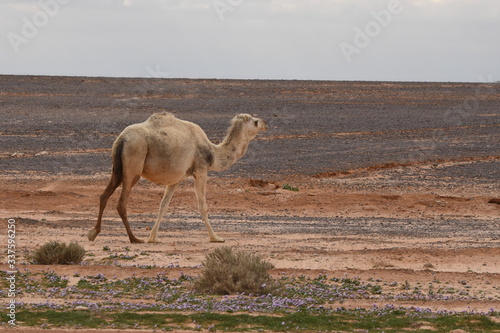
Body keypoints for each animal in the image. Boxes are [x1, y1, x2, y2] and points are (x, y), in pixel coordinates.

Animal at [88, 111, 268, 241]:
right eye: (255, 122)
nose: (266, 123)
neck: (213, 152)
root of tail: (122, 139)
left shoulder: (175, 179)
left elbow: (163, 205)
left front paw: (153, 237)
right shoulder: (201, 171)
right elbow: (202, 206)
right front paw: (216, 237)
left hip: (117, 168)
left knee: (104, 195)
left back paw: (93, 233)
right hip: (134, 165)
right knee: (121, 203)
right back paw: (134, 238)